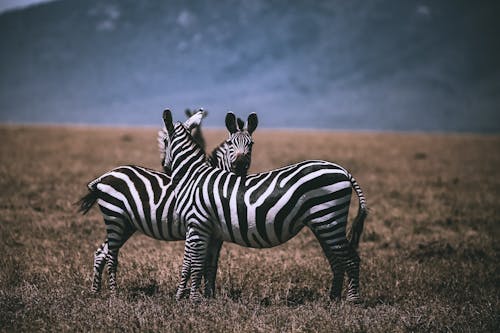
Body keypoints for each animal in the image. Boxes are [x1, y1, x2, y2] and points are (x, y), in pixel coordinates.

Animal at [79, 110, 258, 294]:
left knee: (101, 252)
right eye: (230, 144)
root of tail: (104, 176)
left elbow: (211, 264)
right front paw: (192, 292)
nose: (241, 165)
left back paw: (95, 291)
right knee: (111, 254)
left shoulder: (216, 234)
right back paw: (113, 293)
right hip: (115, 216)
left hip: (126, 224)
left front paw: (207, 293)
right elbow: (198, 263)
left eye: (251, 144)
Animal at [160, 109, 368, 304]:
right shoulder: (207, 230)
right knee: (337, 260)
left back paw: (353, 301)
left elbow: (193, 263)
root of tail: (342, 170)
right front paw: (193, 297)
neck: (192, 176)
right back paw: (333, 298)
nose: (164, 166)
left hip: (329, 218)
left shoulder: (197, 224)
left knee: (351, 259)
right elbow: (198, 264)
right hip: (324, 223)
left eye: (164, 141)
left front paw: (191, 299)